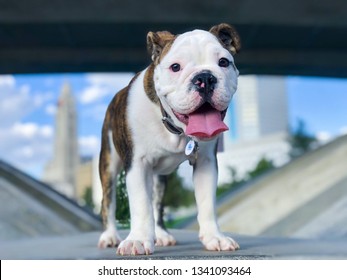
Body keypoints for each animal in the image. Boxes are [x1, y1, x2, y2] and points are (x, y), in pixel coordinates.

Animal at [98, 23, 242, 256]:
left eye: (223, 62)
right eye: (175, 67)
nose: (205, 78)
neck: (175, 129)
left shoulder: (206, 163)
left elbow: (206, 203)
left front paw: (214, 237)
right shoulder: (137, 165)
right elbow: (140, 204)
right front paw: (138, 240)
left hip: (158, 179)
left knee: (156, 203)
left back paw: (161, 235)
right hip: (109, 165)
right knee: (108, 202)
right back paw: (110, 236)